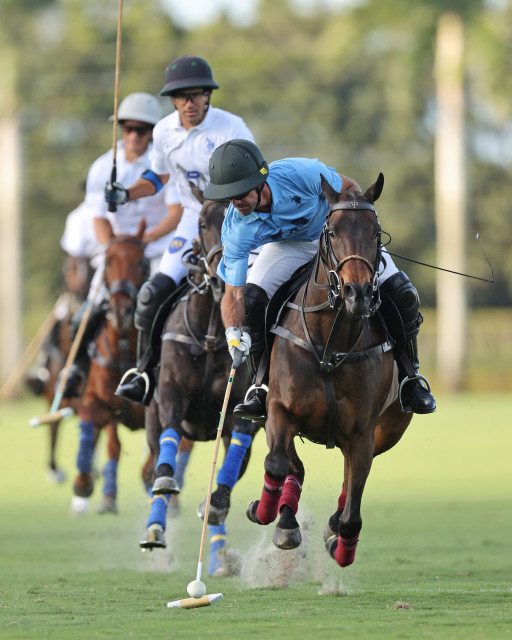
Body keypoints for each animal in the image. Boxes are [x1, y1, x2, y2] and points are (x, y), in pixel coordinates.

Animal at [72, 221, 152, 516]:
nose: (121, 311)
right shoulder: (100, 401)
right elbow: (96, 428)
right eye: (107, 261)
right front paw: (84, 482)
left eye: (143, 263)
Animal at [142, 194, 258, 576]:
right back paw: (155, 528)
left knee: (230, 470)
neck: (209, 334)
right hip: (151, 423)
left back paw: (219, 552)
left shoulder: (239, 409)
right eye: (203, 223)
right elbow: (167, 451)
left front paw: (216, 506)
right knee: (158, 461)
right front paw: (165, 487)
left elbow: (230, 464)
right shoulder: (170, 394)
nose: (223, 279)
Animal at [247, 172, 412, 568]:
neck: (329, 347)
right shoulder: (279, 411)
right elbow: (278, 465)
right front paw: (267, 512)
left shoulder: (363, 433)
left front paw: (341, 541)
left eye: (376, 232)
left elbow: (353, 509)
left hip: (389, 430)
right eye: (332, 231)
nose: (358, 293)